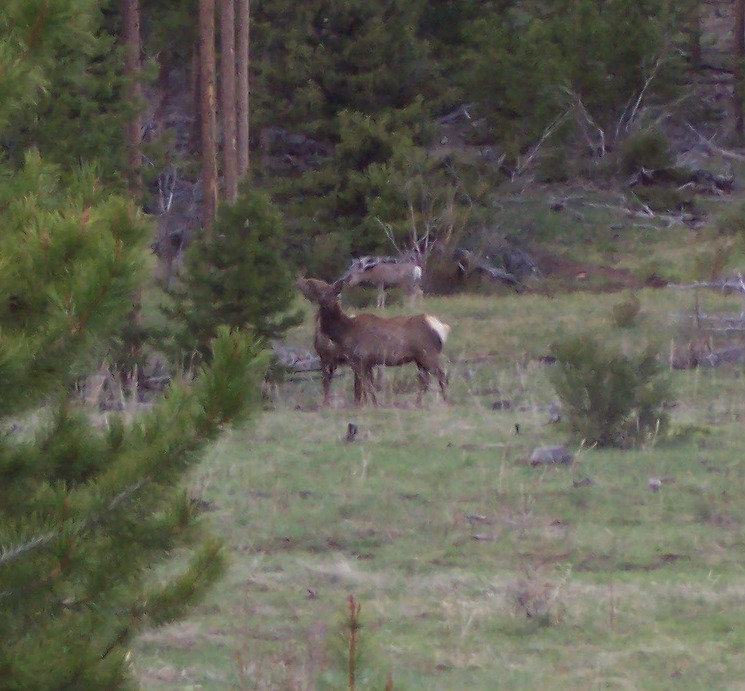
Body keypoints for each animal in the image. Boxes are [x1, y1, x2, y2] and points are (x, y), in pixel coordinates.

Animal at [296, 277, 449, 406]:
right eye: (318, 289)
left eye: (327, 290)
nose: (300, 280)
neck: (344, 332)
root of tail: (441, 328)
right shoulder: (368, 363)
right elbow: (370, 387)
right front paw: (375, 405)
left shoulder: (359, 360)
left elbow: (362, 388)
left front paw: (363, 406)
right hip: (420, 360)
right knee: (425, 380)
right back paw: (418, 404)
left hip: (428, 355)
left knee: (441, 376)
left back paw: (445, 402)